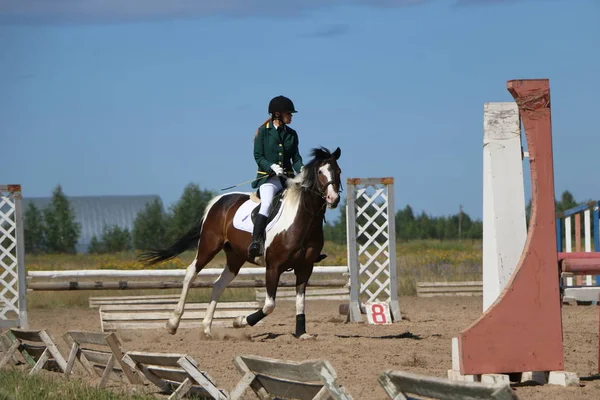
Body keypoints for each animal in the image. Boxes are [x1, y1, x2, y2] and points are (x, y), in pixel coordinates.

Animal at [137, 147, 342, 340]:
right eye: (320, 172)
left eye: (338, 171)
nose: (334, 199)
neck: (304, 221)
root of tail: (218, 201)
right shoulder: (273, 267)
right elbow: (269, 305)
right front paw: (240, 321)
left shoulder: (305, 267)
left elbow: (300, 301)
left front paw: (301, 333)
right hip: (208, 247)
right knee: (190, 273)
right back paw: (172, 323)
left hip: (235, 257)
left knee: (219, 285)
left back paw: (206, 329)